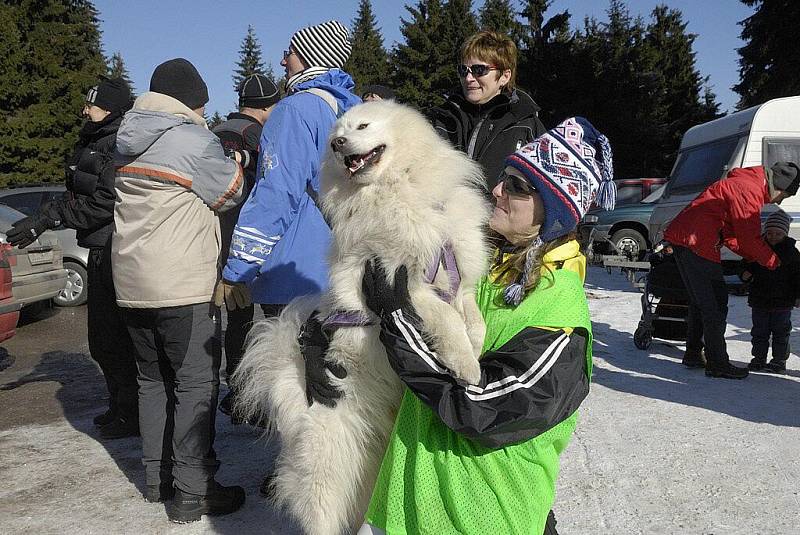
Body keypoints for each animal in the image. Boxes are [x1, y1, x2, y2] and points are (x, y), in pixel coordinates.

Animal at [234, 101, 490, 535]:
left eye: (362, 126)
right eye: (336, 135)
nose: (338, 145)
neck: (394, 190)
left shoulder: (460, 279)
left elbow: (472, 316)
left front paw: (475, 347)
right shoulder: (401, 285)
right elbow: (446, 318)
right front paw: (465, 365)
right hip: (328, 468)